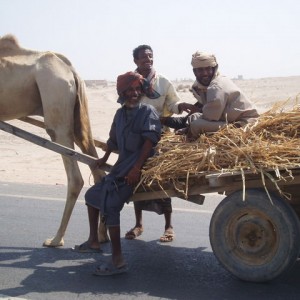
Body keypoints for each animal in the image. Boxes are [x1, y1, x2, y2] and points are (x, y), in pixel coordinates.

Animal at [0, 34, 108, 247]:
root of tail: (70, 70)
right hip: (77, 116)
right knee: (95, 164)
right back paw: (100, 236)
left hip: (56, 101)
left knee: (75, 177)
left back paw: (56, 239)